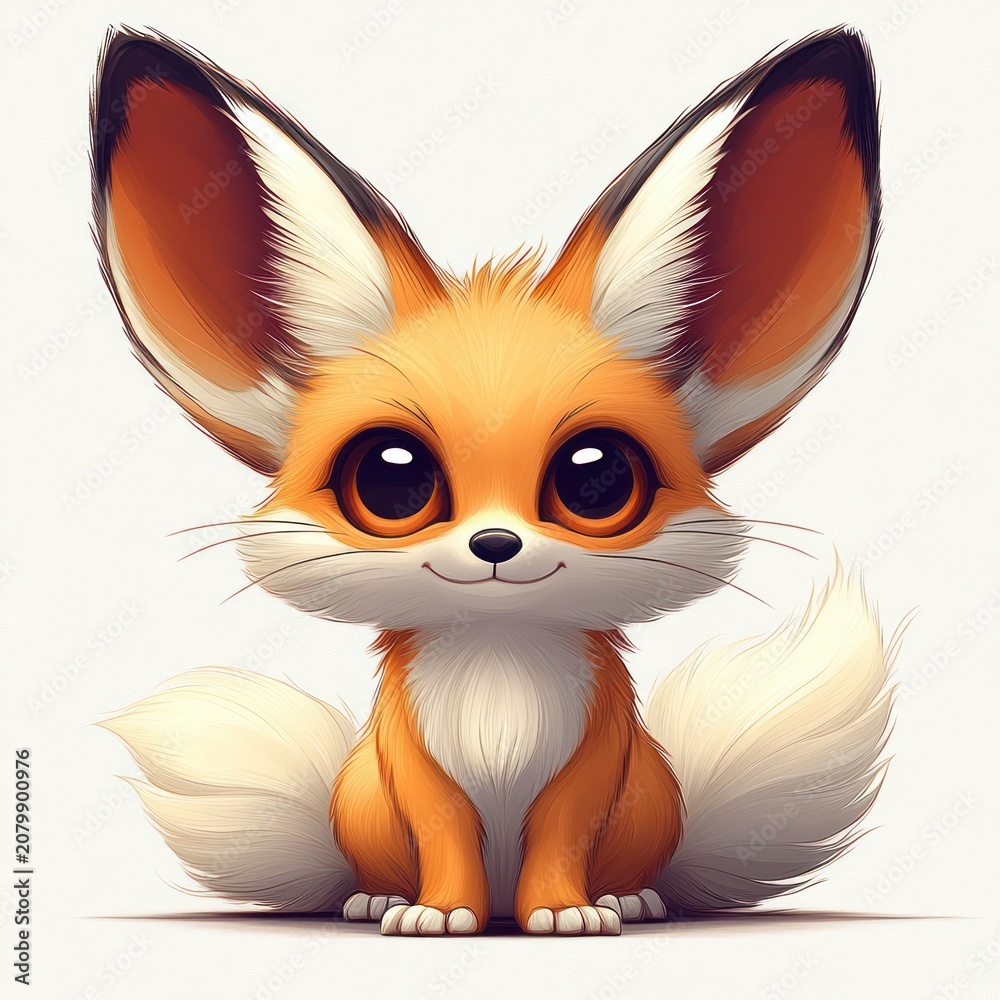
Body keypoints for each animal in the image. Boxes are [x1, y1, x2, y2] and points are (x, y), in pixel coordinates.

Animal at [93, 27, 894, 935]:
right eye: (392, 479)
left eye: (596, 479)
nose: (496, 544)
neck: (497, 664)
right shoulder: (413, 766)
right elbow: (445, 832)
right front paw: (439, 914)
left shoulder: (595, 765)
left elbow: (559, 835)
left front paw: (566, 913)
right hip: (363, 798)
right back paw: (378, 898)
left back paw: (630, 897)